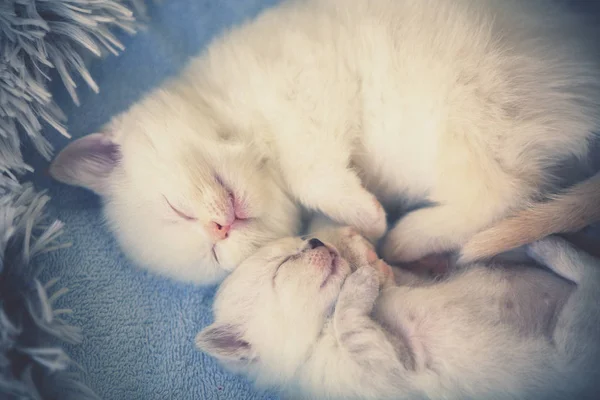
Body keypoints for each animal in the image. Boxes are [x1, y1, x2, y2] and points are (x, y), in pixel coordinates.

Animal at [48, 0, 600, 282]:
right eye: (215, 256)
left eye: (174, 210)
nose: (220, 227)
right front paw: (363, 217)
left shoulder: (308, 83)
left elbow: (310, 170)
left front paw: (369, 216)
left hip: (469, 106)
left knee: (501, 193)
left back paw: (405, 234)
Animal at [196, 228, 600, 400]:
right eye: (282, 266)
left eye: (301, 241)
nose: (315, 241)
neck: (318, 339)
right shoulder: (395, 368)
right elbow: (350, 324)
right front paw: (360, 280)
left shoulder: (412, 286)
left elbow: (399, 278)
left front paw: (365, 255)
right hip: (572, 347)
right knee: (589, 278)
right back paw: (546, 244)